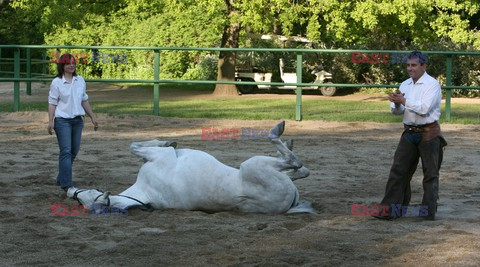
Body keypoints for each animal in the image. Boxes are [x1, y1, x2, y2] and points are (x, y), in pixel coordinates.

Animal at [68, 122, 316, 215]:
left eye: (84, 195)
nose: (70, 191)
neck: (146, 191)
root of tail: (287, 204)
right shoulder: (158, 157)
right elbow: (135, 146)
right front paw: (169, 142)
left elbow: (135, 145)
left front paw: (170, 141)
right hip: (253, 165)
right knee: (297, 165)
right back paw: (279, 132)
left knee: (299, 169)